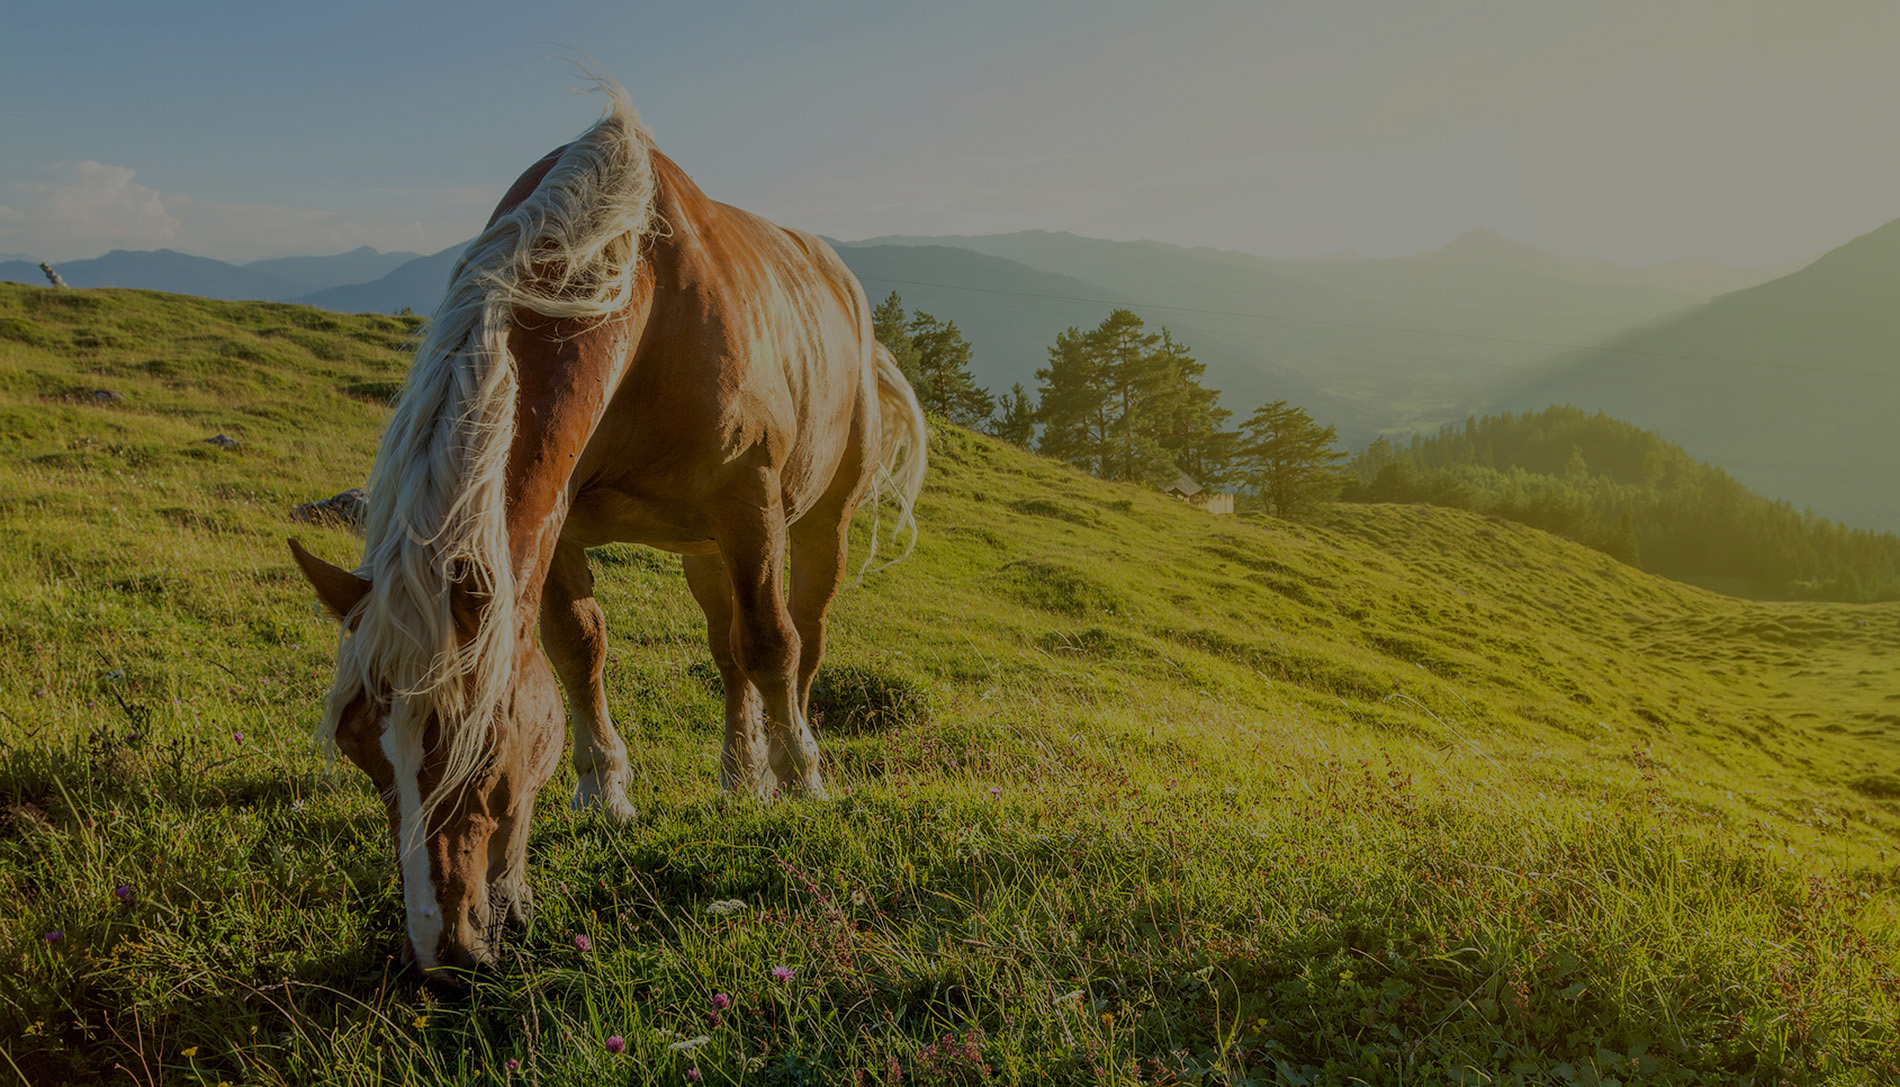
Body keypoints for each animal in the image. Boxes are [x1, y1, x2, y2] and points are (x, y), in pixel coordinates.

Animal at [286, 76, 927, 972]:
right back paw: (741, 772)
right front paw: (603, 789)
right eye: (359, 751)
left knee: (799, 637)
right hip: (704, 552)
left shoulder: (751, 503)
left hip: (810, 526)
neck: (648, 298)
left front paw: (803, 777)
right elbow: (576, 647)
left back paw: (786, 757)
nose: (444, 951)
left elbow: (776, 644)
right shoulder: (559, 531)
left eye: (481, 747)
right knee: (727, 653)